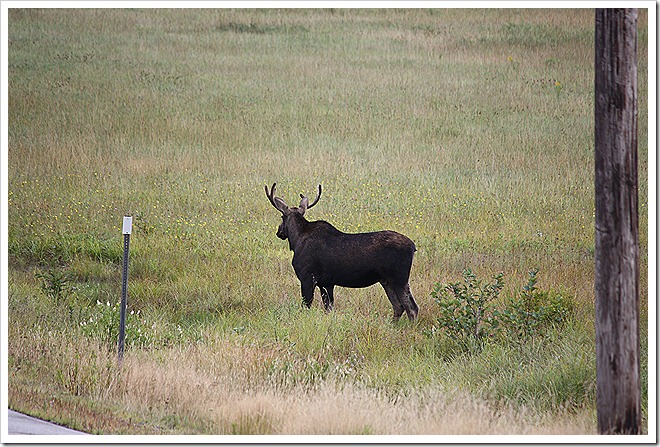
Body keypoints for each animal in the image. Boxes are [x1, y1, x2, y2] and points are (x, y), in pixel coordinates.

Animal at [265, 183, 419, 321]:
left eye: (282, 217)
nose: (279, 231)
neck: (296, 240)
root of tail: (413, 246)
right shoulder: (326, 283)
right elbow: (328, 308)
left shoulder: (307, 277)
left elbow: (306, 305)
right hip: (386, 280)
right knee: (398, 306)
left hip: (399, 278)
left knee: (412, 308)